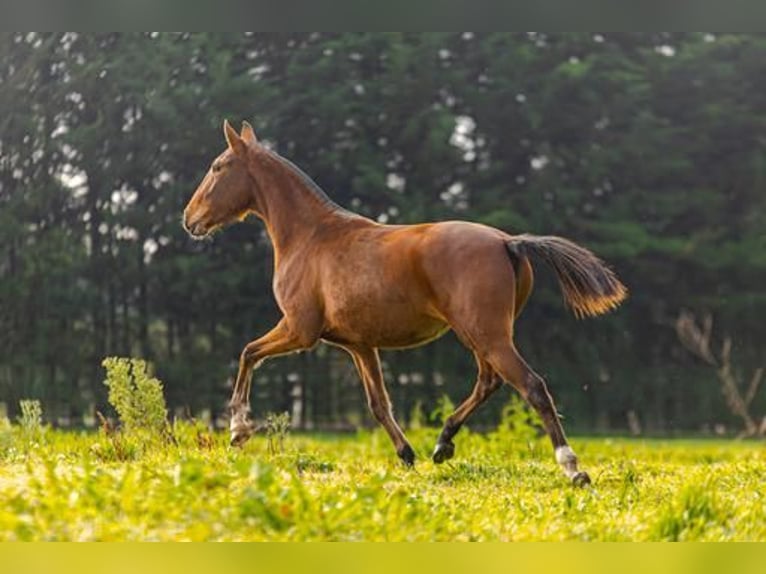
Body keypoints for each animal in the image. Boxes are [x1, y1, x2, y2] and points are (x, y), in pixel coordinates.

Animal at [186, 120, 632, 486]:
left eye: (218, 166)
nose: (189, 219)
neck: (310, 237)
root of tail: (507, 241)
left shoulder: (300, 329)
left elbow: (248, 353)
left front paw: (238, 429)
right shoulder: (359, 345)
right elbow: (379, 404)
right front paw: (406, 454)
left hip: (487, 335)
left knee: (531, 386)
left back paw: (572, 468)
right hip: (481, 335)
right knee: (488, 382)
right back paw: (442, 445)